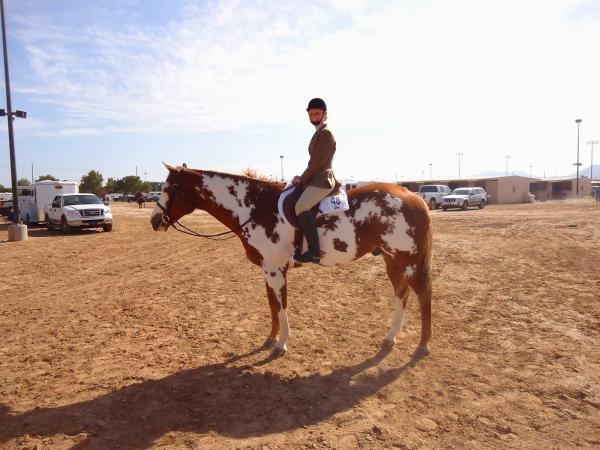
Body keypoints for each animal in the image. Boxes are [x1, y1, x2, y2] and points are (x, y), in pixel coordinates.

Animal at [149, 163, 432, 356]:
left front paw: (282, 343)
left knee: (423, 295)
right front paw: (270, 339)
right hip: (392, 261)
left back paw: (422, 345)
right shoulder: (267, 269)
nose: (154, 221)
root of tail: (415, 197)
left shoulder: (276, 269)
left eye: (168, 188)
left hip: (409, 262)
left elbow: (282, 305)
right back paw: (390, 338)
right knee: (401, 294)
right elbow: (272, 305)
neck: (256, 207)